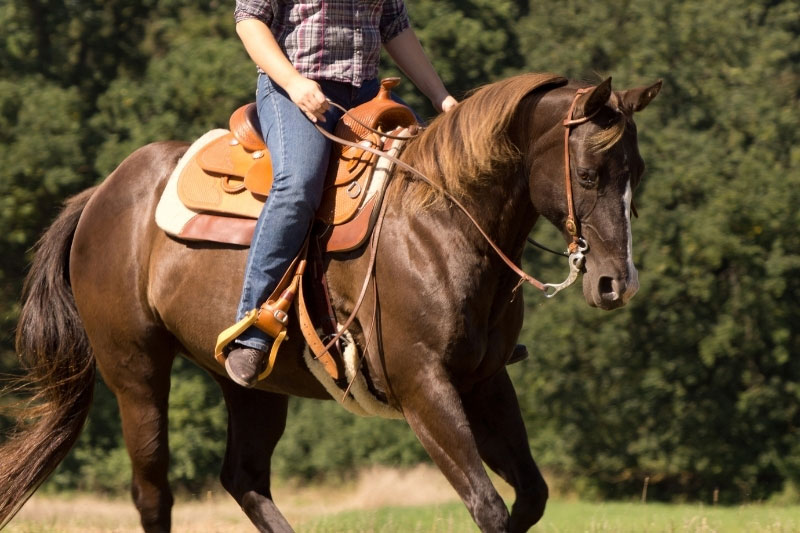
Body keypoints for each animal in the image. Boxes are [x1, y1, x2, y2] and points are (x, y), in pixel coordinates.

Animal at [0, 72, 660, 532]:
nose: (616, 283)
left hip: (251, 385)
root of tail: (101, 193)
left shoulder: (486, 381)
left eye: (638, 172)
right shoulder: (424, 387)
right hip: (135, 372)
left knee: (244, 477)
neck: (441, 221)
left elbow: (530, 497)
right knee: (153, 492)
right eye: (591, 174)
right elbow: (489, 506)